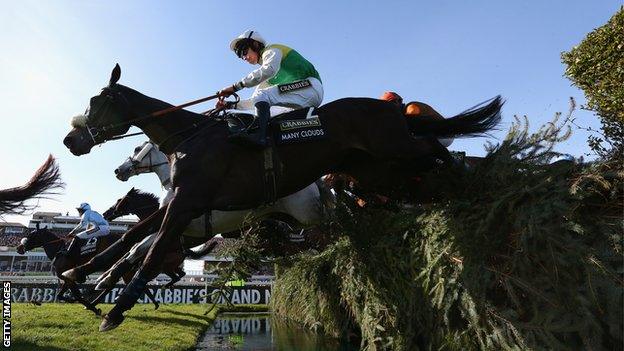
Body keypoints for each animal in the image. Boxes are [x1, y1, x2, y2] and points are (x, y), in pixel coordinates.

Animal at [63, 64, 502, 332]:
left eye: (97, 101)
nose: (71, 139)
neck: (191, 138)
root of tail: (392, 107)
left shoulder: (187, 205)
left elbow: (150, 252)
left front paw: (114, 309)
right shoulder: (182, 204)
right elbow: (128, 239)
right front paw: (80, 275)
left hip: (394, 149)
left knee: (434, 149)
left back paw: (475, 175)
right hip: (379, 170)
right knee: (417, 181)